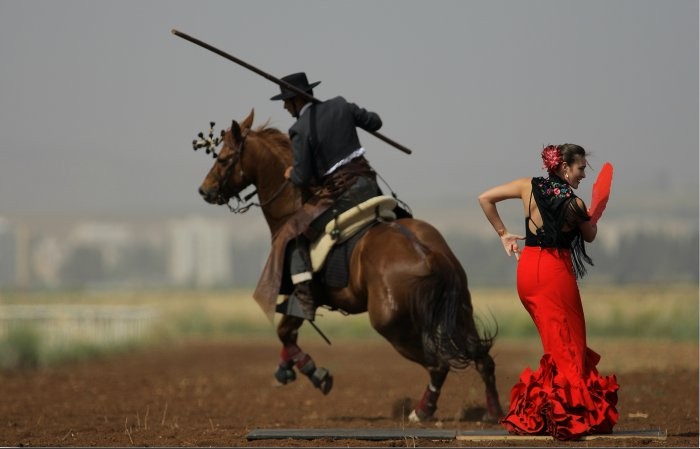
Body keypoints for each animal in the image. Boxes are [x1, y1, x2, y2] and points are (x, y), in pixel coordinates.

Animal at [197, 110, 504, 422]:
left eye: (224, 158)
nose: (204, 190)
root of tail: (429, 255)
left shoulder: (301, 295)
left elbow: (284, 332)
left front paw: (316, 373)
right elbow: (287, 333)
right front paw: (287, 369)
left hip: (394, 327)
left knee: (438, 365)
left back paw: (422, 411)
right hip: (461, 313)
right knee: (483, 361)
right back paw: (494, 412)